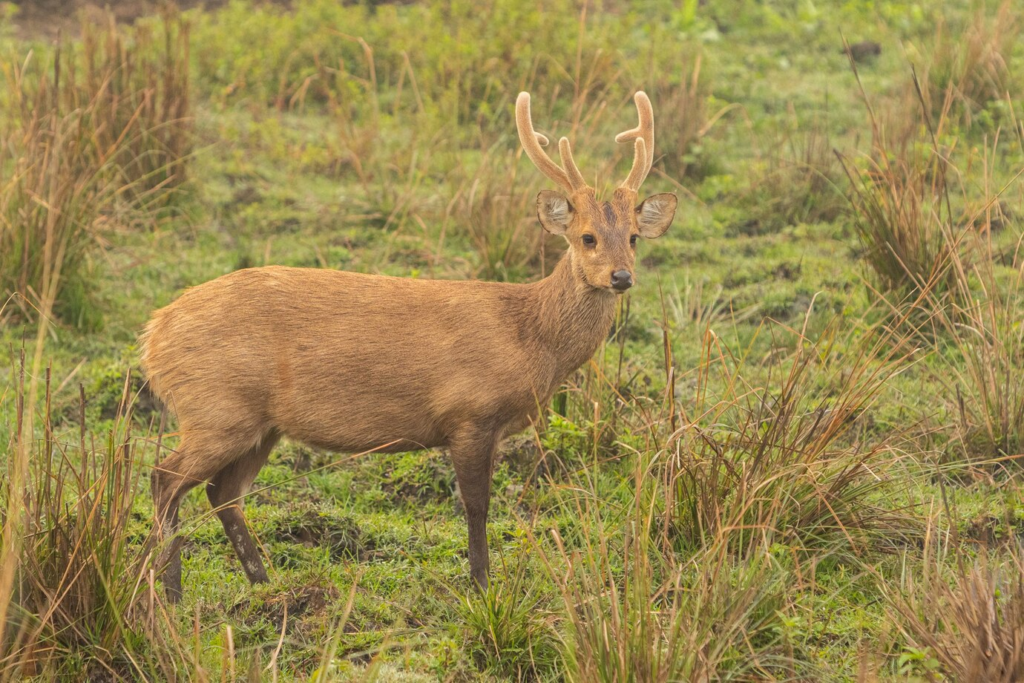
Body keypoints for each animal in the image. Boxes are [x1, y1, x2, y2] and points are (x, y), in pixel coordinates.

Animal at [142, 88, 671, 602]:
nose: (621, 277)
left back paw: (260, 584)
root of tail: (153, 334)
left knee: (222, 493)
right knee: (166, 479)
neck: (528, 337)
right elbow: (477, 507)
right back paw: (171, 590)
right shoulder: (469, 412)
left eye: (633, 237)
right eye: (587, 238)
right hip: (217, 407)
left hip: (258, 422)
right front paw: (482, 588)